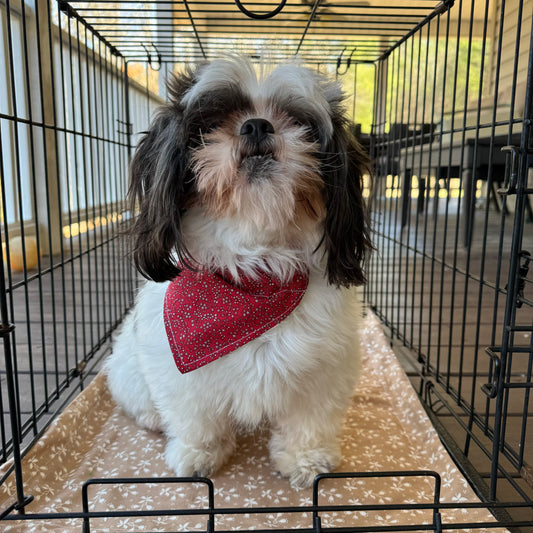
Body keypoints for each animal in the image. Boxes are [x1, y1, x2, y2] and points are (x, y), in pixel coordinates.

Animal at [104, 56, 370, 488]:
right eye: (212, 122)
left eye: (298, 121)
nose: (257, 125)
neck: (255, 274)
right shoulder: (179, 369)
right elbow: (196, 418)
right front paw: (198, 455)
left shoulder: (323, 370)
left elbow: (309, 421)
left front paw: (306, 460)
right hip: (129, 367)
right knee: (139, 398)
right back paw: (152, 418)